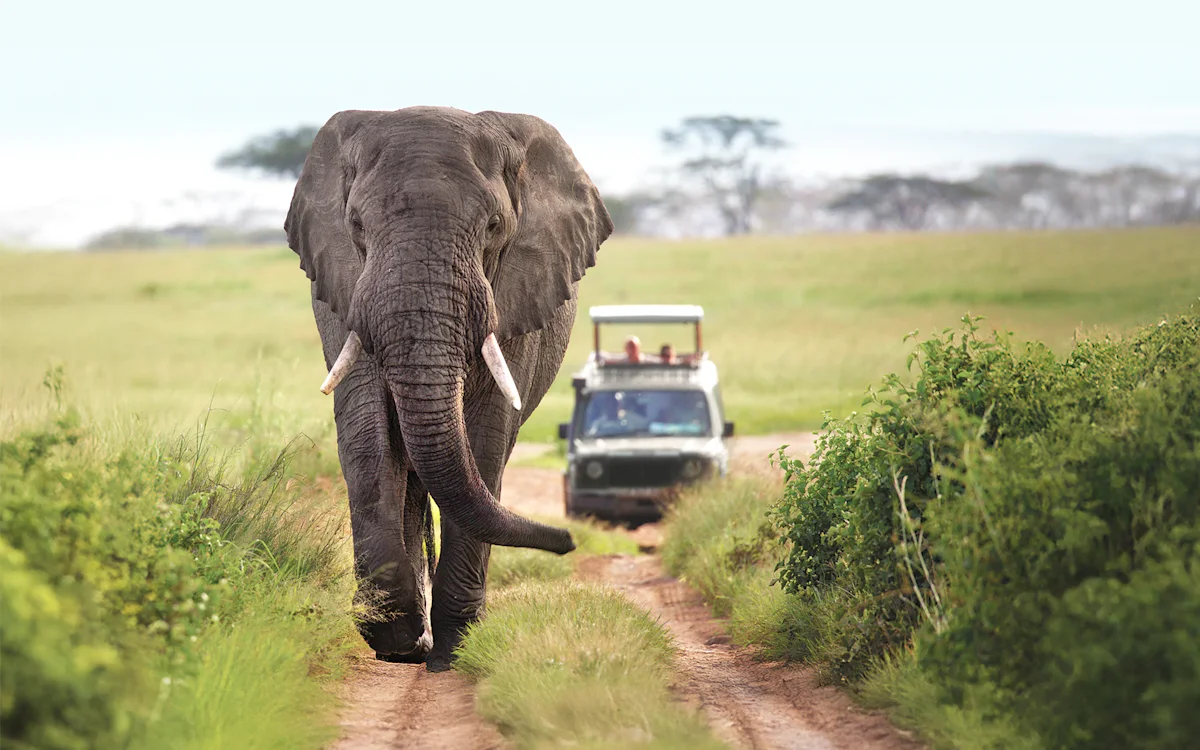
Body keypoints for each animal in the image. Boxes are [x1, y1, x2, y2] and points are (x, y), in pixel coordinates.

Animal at [284, 106, 614, 671]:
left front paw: (456, 645)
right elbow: (368, 436)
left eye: (494, 227)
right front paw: (393, 637)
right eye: (356, 225)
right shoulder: (341, 294)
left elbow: (484, 438)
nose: (570, 539)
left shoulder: (514, 298)